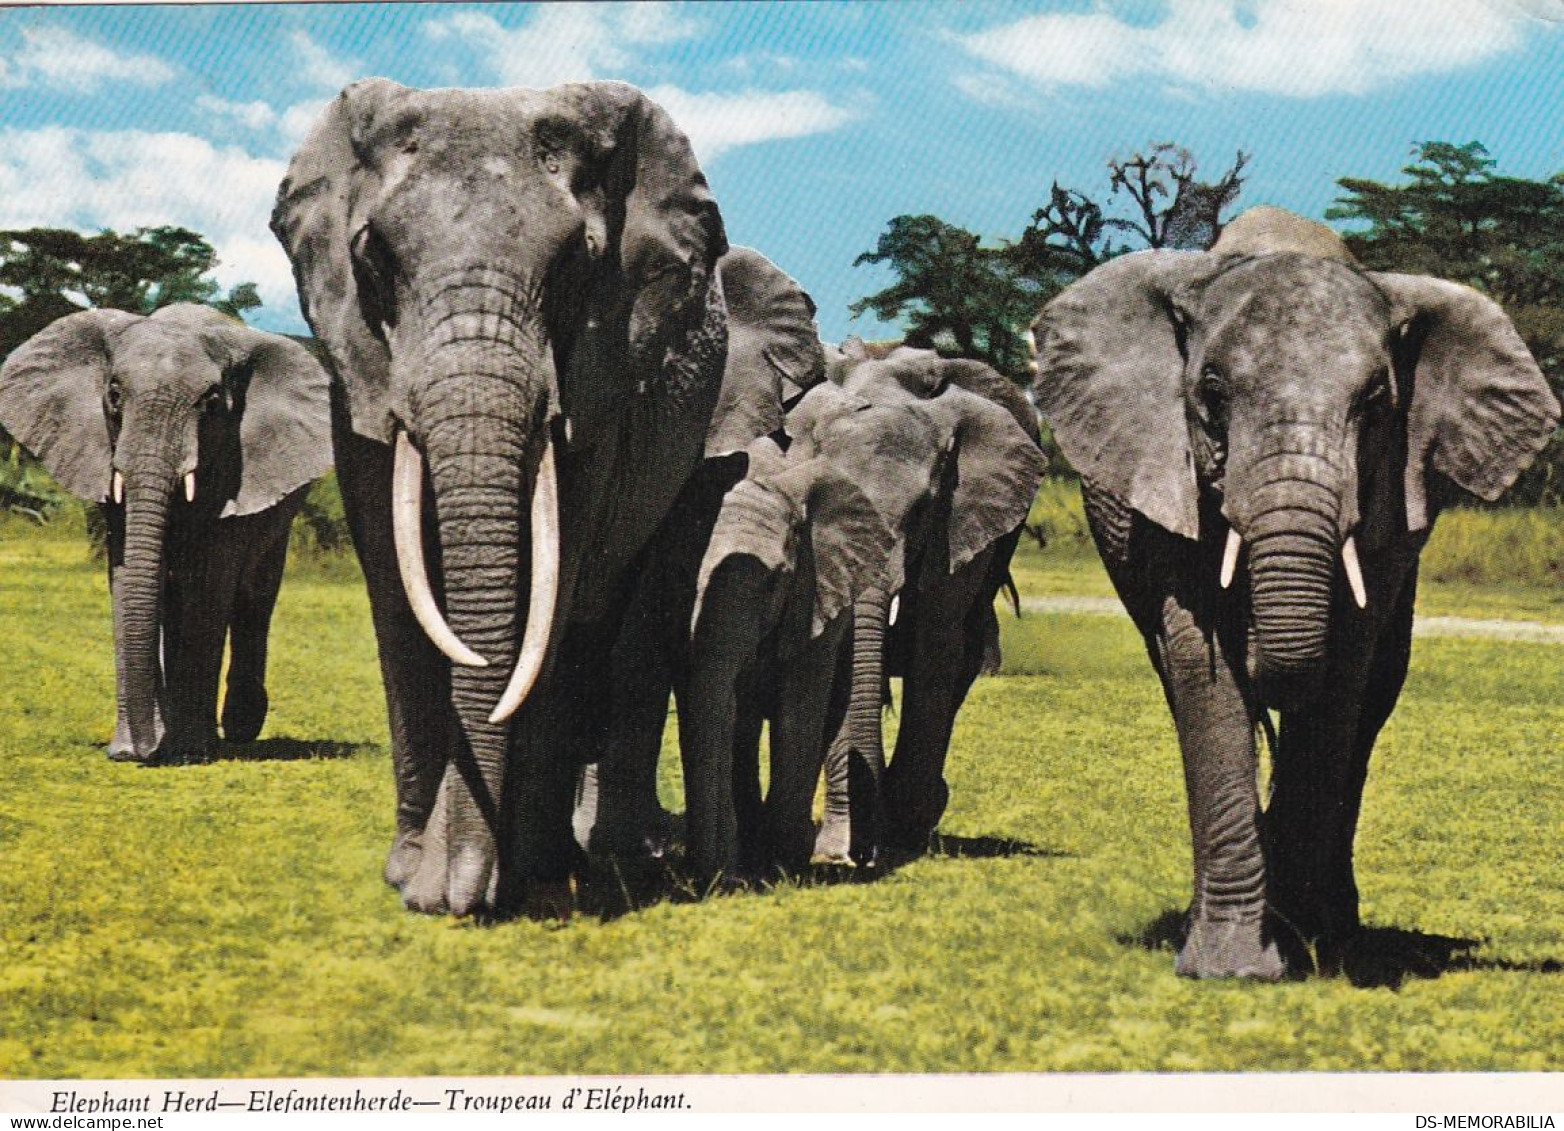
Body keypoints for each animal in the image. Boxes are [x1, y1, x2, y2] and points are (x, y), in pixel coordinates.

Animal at [0, 303, 332, 764]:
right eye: (114, 394)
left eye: (212, 402)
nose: (143, 750)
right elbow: (128, 576)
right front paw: (135, 748)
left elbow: (209, 582)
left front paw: (190, 751)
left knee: (254, 594)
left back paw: (236, 728)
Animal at [271, 79, 730, 917]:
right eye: (373, 256)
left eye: (578, 263)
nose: (450, 893)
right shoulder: (359, 386)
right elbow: (398, 599)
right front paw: (411, 875)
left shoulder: (601, 382)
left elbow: (553, 591)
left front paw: (507, 880)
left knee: (610, 616)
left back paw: (575, 856)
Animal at [811, 341, 1047, 867]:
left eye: (921, 511)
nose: (864, 855)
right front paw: (837, 849)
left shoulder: (963, 511)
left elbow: (935, 641)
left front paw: (897, 833)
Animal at [1032, 206, 1560, 979]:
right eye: (1211, 393)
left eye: (1376, 401)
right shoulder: (1167, 479)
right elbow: (1202, 668)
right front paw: (1230, 967)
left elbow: (1344, 668)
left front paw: (1306, 943)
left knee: (1376, 693)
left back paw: (1330, 926)